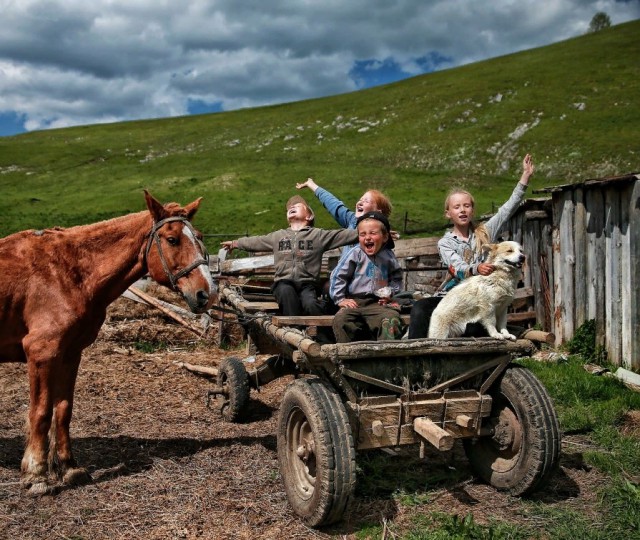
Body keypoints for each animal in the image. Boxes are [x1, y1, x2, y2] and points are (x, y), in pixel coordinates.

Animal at [0, 190, 216, 494]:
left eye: (198, 236)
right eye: (173, 239)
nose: (206, 294)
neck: (67, 273)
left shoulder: (70, 354)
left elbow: (63, 410)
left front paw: (69, 468)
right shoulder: (41, 353)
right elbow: (40, 412)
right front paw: (36, 475)